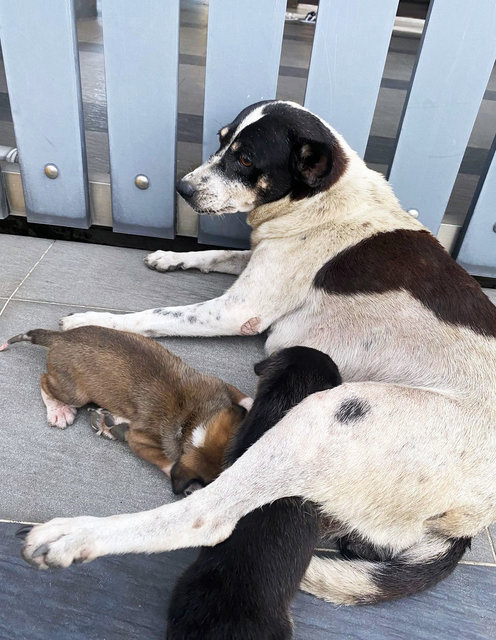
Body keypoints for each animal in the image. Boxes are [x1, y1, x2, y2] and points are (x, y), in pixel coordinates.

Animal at [0, 328, 252, 492]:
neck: (193, 418)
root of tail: (60, 337)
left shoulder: (221, 386)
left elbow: (243, 397)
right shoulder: (139, 440)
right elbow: (170, 464)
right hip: (74, 393)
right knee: (44, 381)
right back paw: (59, 411)